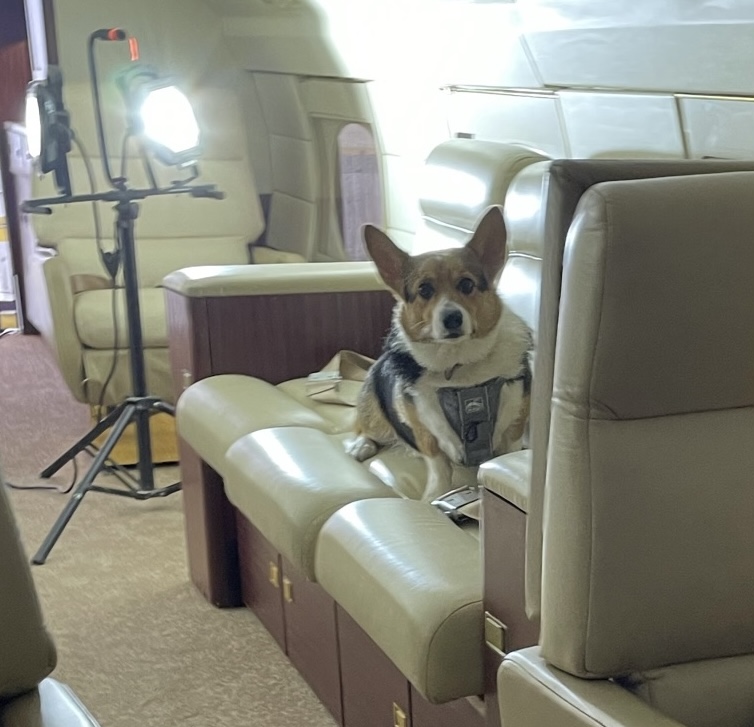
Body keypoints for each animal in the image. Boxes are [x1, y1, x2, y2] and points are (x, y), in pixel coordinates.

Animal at [350, 205, 532, 500]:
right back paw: (361, 445)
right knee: (365, 426)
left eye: (467, 284)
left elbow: (506, 451)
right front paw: (435, 496)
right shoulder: (423, 426)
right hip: (375, 406)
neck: (459, 366)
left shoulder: (514, 423)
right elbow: (439, 464)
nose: (452, 318)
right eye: (424, 289)